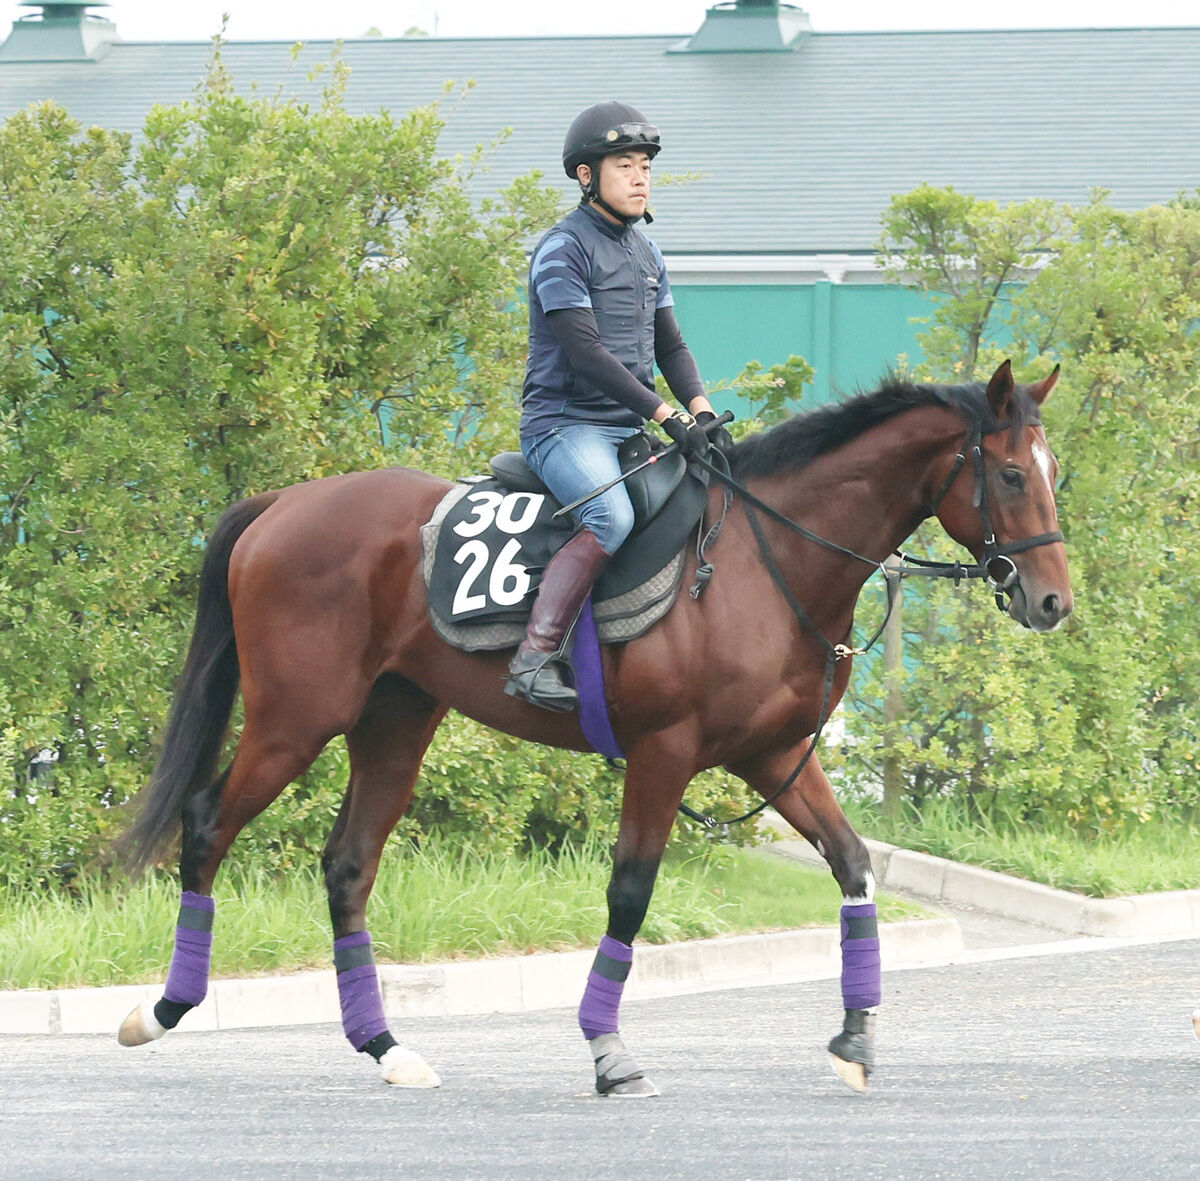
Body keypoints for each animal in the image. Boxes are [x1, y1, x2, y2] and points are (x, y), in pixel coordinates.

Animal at [114, 362, 1070, 1099]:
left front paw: (857, 1036)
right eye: (1011, 475)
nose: (1052, 600)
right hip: (294, 719)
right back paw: (160, 1010)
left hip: (395, 721)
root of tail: (283, 505)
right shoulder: (664, 752)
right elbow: (631, 893)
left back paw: (387, 1048)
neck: (765, 561)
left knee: (348, 865)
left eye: (1053, 468)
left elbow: (852, 862)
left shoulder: (773, 758)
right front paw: (610, 1054)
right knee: (206, 825)